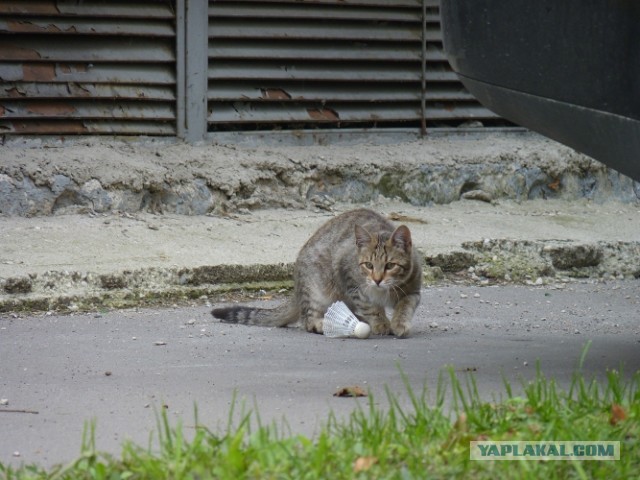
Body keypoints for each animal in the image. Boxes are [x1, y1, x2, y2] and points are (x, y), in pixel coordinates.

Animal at [212, 209, 422, 338]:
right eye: (369, 265)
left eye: (390, 265)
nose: (377, 280)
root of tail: (297, 287)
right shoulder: (350, 280)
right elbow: (371, 307)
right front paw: (381, 324)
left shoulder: (413, 290)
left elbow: (405, 306)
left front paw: (399, 323)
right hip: (317, 290)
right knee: (308, 320)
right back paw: (323, 324)